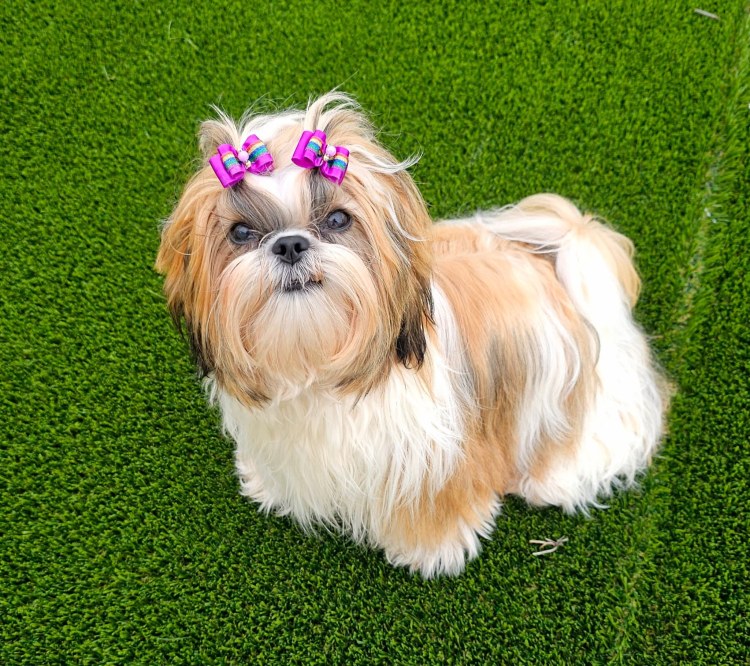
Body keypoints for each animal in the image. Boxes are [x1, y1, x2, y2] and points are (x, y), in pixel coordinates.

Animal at [156, 93, 668, 577]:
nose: (289, 244)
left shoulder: (437, 458)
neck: (321, 367)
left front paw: (430, 550)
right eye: (241, 232)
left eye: (338, 220)